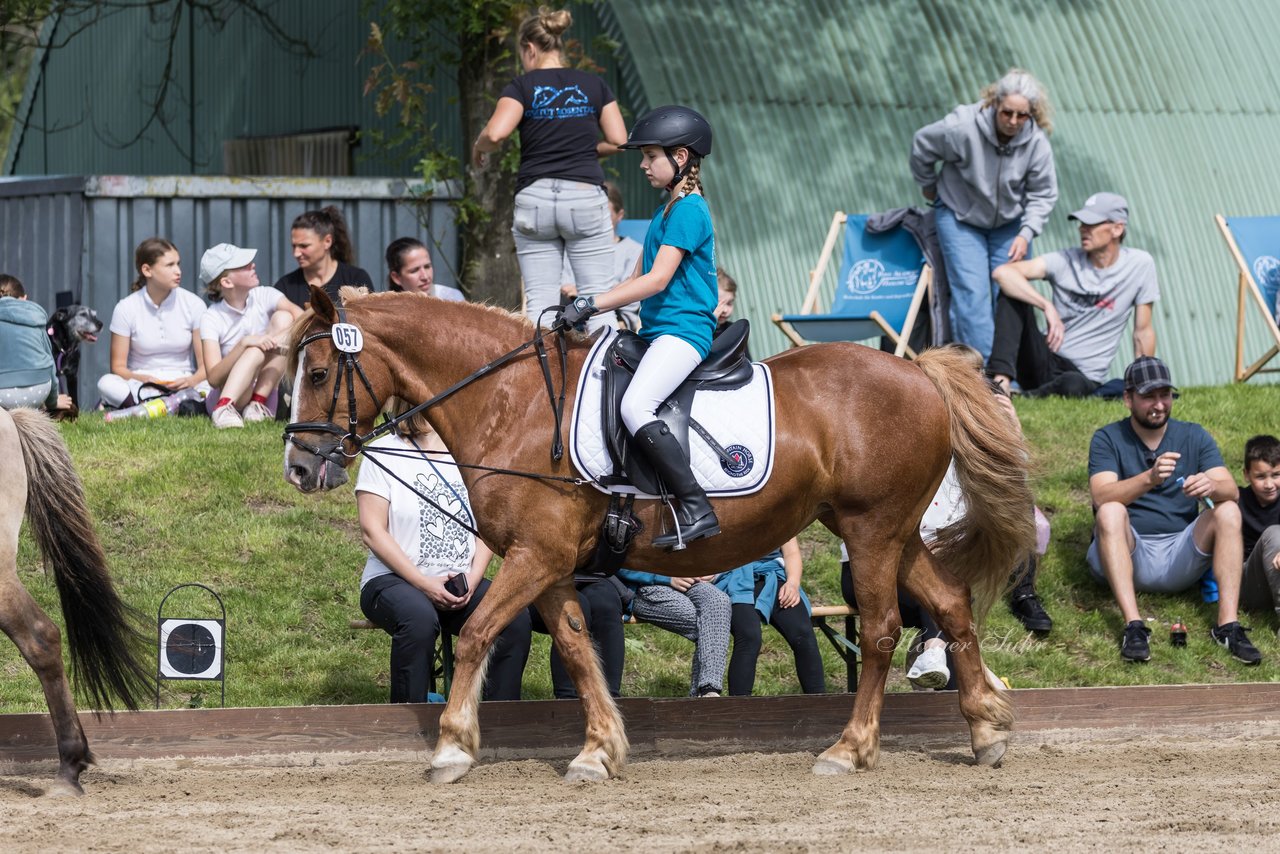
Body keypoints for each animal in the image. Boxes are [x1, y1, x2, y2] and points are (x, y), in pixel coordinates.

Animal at [285, 290, 1034, 783]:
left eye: (318, 373)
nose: (299, 466)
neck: (513, 402)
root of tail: (919, 369)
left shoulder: (535, 556)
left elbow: (474, 634)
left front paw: (451, 749)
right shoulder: (550, 565)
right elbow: (578, 649)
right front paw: (598, 750)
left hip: (872, 529)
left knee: (878, 631)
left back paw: (848, 750)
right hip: (897, 534)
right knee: (952, 606)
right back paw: (986, 730)